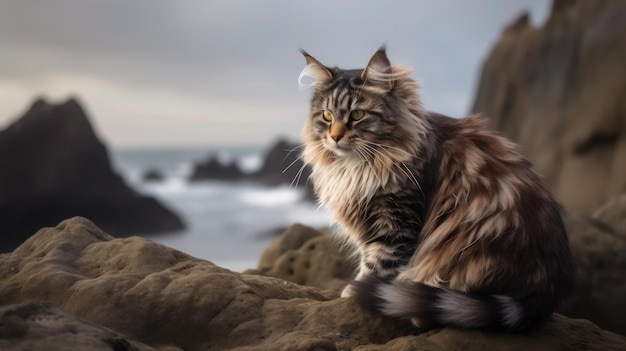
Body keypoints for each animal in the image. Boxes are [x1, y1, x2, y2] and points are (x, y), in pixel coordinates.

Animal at [298, 47, 576, 332]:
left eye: (357, 115)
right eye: (327, 116)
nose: (334, 136)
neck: (358, 167)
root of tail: (545, 295)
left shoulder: (397, 223)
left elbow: (378, 265)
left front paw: (356, 291)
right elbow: (370, 259)